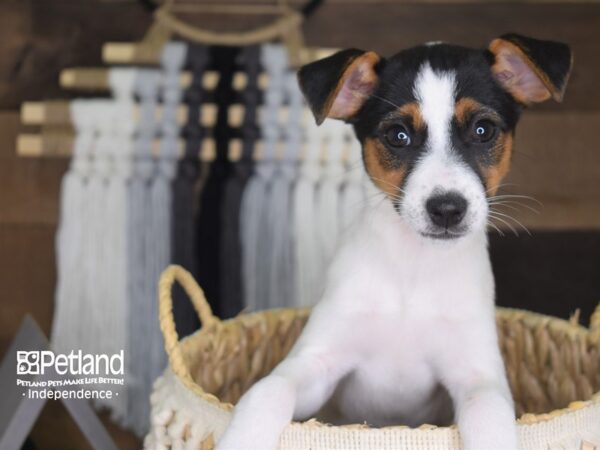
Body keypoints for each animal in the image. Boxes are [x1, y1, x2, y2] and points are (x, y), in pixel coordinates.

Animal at [216, 34, 572, 450]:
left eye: (483, 130)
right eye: (398, 136)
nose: (447, 209)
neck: (414, 268)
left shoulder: (478, 377)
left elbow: (491, 422)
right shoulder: (318, 362)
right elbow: (268, 389)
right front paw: (241, 438)